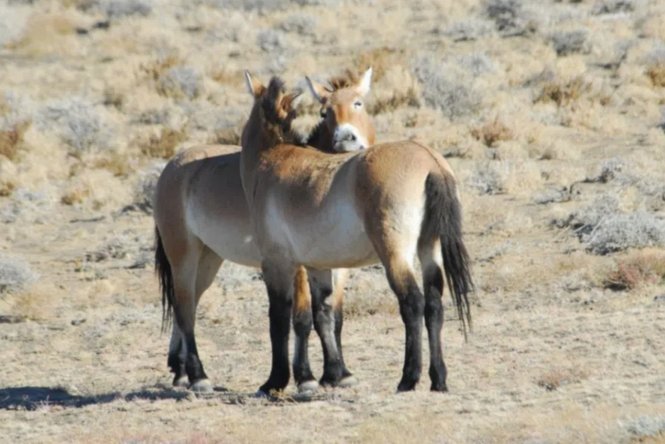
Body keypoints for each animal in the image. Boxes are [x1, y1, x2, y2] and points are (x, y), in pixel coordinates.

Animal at [153, 70, 376, 393]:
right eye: (324, 112)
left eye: (359, 103)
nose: (346, 139)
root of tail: (172, 166)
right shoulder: (296, 266)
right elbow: (302, 319)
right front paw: (307, 378)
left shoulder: (338, 267)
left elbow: (334, 317)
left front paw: (338, 373)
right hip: (184, 255)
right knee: (183, 307)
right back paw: (198, 376)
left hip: (208, 259)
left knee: (189, 304)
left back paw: (181, 372)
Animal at [240, 74, 473, 395]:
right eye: (324, 112)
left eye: (358, 104)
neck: (273, 156)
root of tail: (430, 162)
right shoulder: (318, 267)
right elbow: (324, 315)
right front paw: (335, 374)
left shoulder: (278, 264)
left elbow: (281, 318)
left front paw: (275, 381)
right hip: (430, 249)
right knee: (434, 304)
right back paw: (438, 379)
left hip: (395, 255)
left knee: (412, 303)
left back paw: (408, 378)